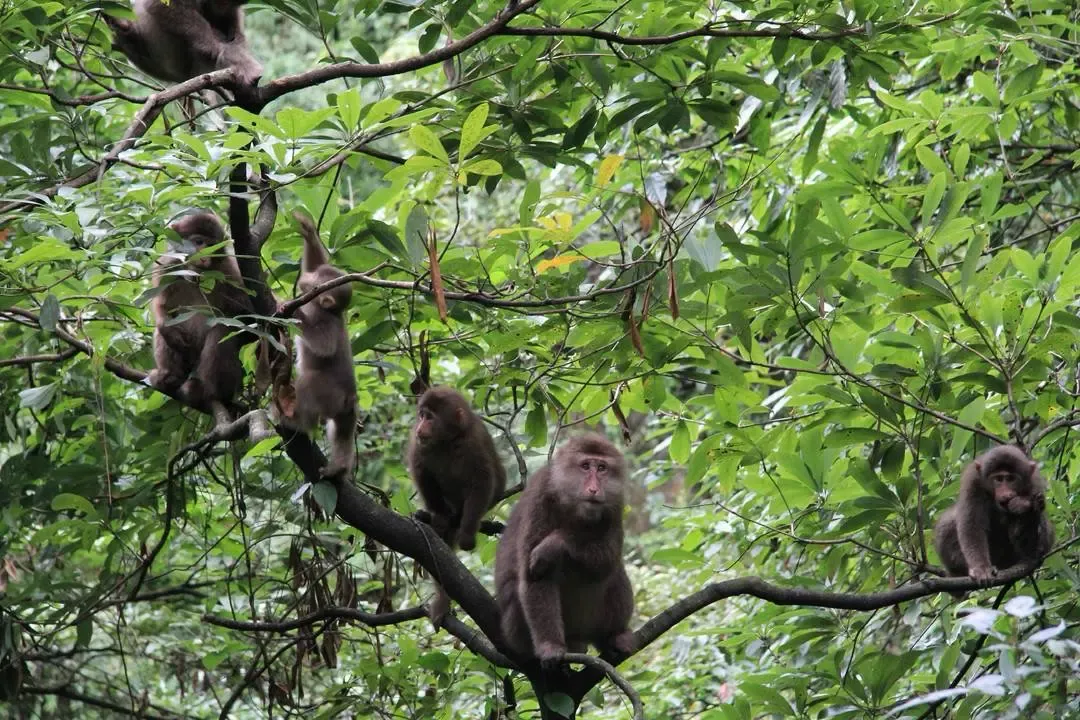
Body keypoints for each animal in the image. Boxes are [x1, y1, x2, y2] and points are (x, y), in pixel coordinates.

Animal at [147, 208, 252, 425]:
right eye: (198, 242)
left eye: (211, 246)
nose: (204, 257)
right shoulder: (168, 265)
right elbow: (164, 307)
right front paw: (165, 326)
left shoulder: (229, 271)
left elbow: (246, 318)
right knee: (167, 334)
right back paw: (170, 376)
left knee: (220, 333)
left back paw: (208, 392)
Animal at [494, 431, 635, 669]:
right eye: (585, 466)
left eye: (602, 468)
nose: (594, 489)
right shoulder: (540, 499)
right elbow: (535, 577)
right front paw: (550, 646)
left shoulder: (615, 504)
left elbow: (608, 558)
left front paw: (555, 544)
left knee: (614, 572)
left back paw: (613, 636)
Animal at [928, 444, 1054, 591]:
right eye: (998, 479)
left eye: (1011, 479)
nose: (1006, 494)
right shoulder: (973, 482)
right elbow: (972, 524)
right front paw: (981, 569)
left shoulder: (1035, 484)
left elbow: (1037, 547)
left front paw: (1024, 506)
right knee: (947, 522)